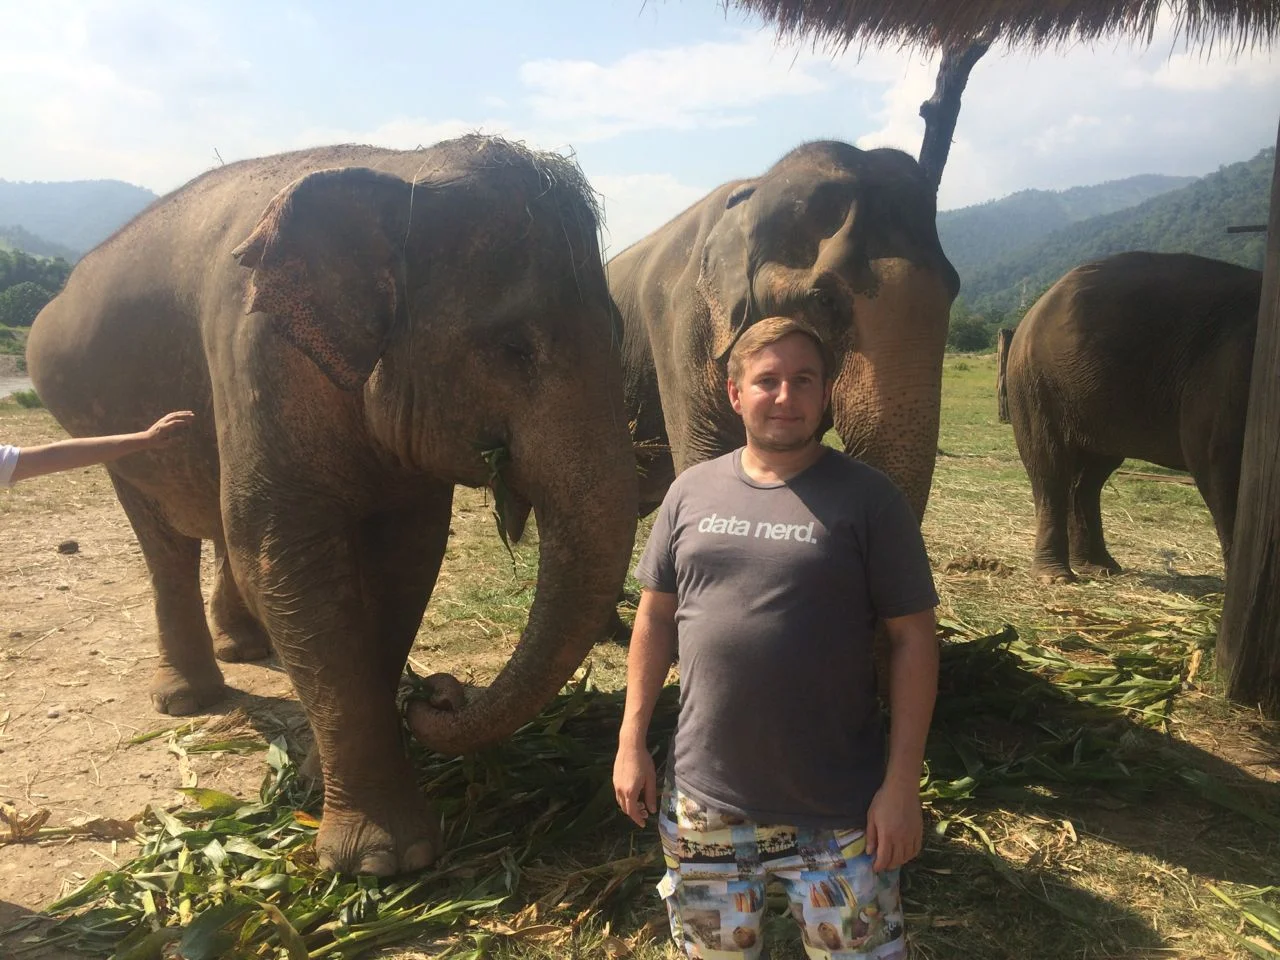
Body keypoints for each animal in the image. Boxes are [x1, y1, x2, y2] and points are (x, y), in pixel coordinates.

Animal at [25, 135, 639, 875]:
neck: (401, 170)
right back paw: (187, 697)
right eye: (512, 347)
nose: (437, 692)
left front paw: (327, 787)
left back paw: (244, 646)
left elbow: (402, 564)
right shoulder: (257, 356)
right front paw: (378, 862)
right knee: (166, 538)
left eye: (618, 329)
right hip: (105, 432)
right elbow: (290, 564)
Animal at [1003, 251, 1262, 583]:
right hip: (1035, 383)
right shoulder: (1225, 377)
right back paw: (1056, 576)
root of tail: (1033, 309)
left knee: (1089, 476)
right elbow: (1219, 464)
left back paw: (1100, 567)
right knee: (1050, 468)